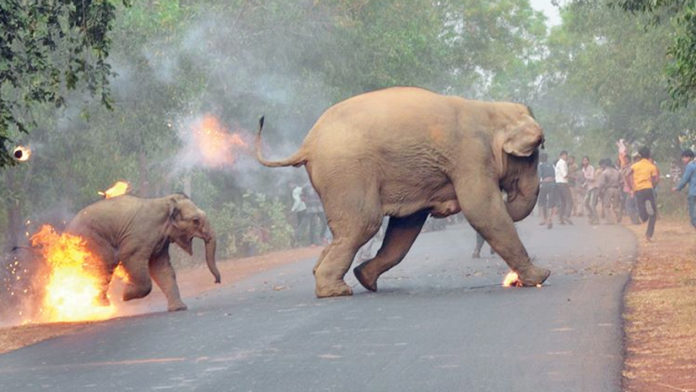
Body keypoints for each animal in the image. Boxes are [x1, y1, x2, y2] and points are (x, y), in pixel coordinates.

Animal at [65, 192, 219, 310]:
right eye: (195, 220)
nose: (216, 281)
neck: (165, 201)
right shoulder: (140, 236)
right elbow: (130, 258)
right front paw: (125, 295)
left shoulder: (160, 242)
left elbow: (162, 268)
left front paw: (179, 308)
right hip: (91, 239)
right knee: (106, 263)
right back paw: (101, 305)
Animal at [258, 87, 552, 298]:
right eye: (533, 155)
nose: (510, 197)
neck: (490, 109)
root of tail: (307, 144)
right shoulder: (470, 156)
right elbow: (482, 209)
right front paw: (541, 276)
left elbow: (406, 226)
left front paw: (365, 276)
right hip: (346, 171)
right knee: (364, 223)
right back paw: (335, 291)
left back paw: (334, 277)